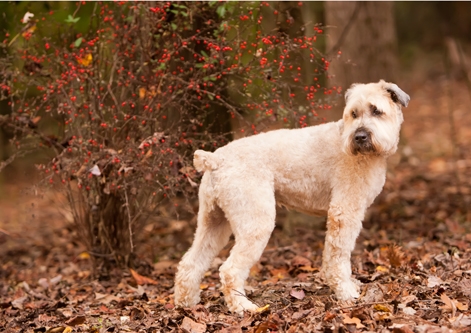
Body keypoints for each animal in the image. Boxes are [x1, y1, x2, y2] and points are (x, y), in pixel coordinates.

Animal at [173, 79, 410, 312]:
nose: (359, 137)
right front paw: (345, 292)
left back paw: (186, 303)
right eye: (353, 113)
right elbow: (339, 256)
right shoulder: (344, 212)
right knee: (229, 270)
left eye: (376, 111)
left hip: (213, 223)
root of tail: (215, 159)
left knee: (189, 263)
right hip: (256, 222)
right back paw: (243, 307)